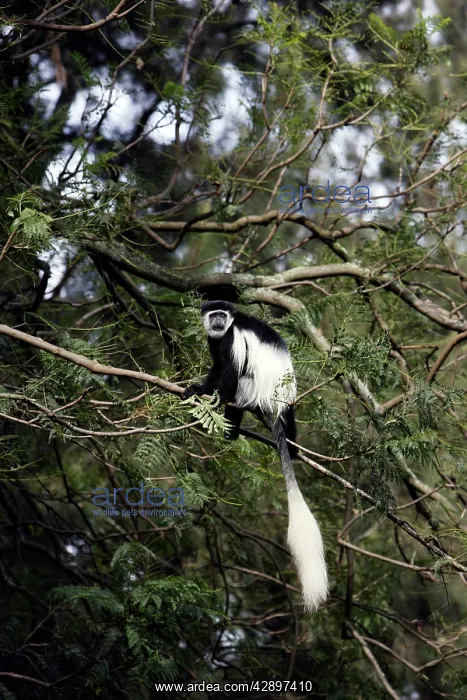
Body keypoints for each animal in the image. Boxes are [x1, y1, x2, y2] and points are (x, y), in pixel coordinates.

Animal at [184, 301, 328, 612]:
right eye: (212, 315)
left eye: (221, 315)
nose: (217, 321)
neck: (227, 327)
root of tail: (274, 400)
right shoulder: (215, 338)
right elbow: (217, 366)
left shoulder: (232, 338)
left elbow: (227, 372)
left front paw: (202, 395)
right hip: (287, 407)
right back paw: (291, 449)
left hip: (250, 388)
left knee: (236, 381)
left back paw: (230, 427)